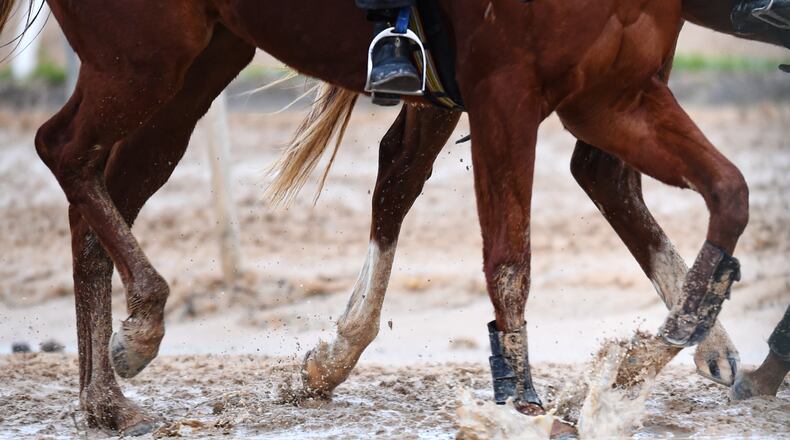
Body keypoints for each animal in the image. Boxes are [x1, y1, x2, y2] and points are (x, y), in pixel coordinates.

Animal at [0, 0, 762, 435]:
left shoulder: (614, 92)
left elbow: (729, 192)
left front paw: (648, 356)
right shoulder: (505, 92)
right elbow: (508, 260)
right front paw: (520, 399)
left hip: (198, 58)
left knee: (101, 190)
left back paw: (105, 397)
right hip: (142, 55)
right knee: (61, 149)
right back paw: (142, 325)